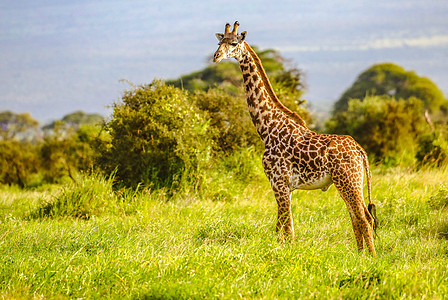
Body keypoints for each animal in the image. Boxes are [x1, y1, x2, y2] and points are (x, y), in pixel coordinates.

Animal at [213, 21, 378, 255]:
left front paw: (288, 254)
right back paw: (360, 254)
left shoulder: (279, 182)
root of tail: (360, 151)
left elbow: (287, 227)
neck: (268, 128)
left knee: (365, 218)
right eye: (219, 42)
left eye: (234, 43)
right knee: (357, 217)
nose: (216, 56)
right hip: (347, 182)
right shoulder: (283, 186)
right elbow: (280, 227)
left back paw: (370, 257)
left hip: (348, 180)